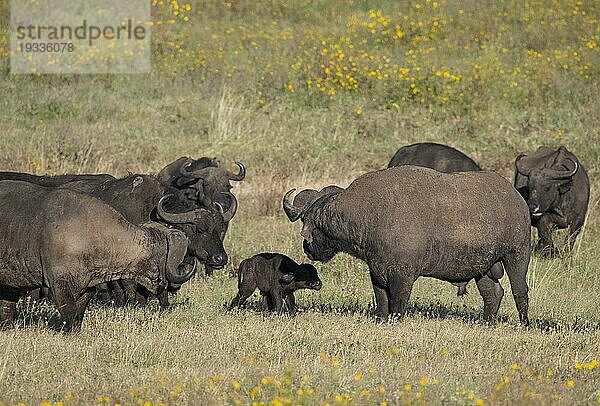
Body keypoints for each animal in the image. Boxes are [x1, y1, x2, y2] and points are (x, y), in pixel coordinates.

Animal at [0, 179, 193, 332]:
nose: (174, 286)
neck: (90, 234)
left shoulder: (88, 288)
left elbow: (78, 314)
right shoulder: (58, 284)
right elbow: (69, 313)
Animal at [282, 165, 528, 324]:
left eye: (310, 223)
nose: (307, 247)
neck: (370, 214)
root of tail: (516, 197)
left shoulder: (403, 276)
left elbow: (398, 302)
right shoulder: (377, 273)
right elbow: (382, 300)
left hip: (516, 255)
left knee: (520, 291)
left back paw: (524, 322)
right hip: (483, 269)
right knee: (493, 293)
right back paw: (486, 322)